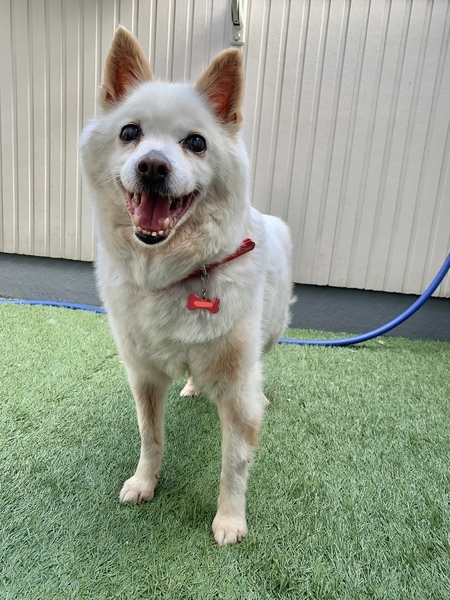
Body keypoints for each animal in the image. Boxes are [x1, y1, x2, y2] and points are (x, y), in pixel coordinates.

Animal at [80, 26, 292, 546]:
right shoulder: (143, 375)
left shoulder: (236, 388)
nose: (153, 166)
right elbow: (150, 436)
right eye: (129, 133)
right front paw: (144, 483)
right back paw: (195, 386)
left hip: (272, 330)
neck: (173, 274)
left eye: (196, 143)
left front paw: (230, 519)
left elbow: (234, 462)